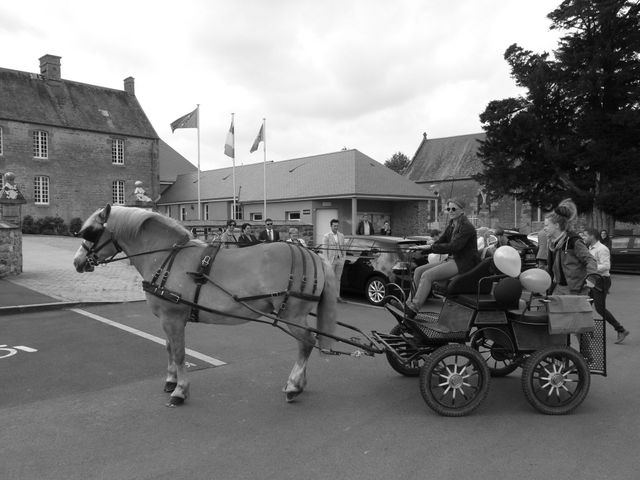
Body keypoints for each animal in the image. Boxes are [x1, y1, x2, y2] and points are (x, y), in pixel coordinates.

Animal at [72, 204, 338, 406]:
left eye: (91, 233)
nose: (77, 262)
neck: (166, 256)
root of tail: (312, 254)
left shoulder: (173, 317)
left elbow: (179, 352)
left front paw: (180, 391)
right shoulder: (167, 319)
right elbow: (169, 348)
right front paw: (170, 381)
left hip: (292, 314)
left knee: (306, 342)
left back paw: (294, 386)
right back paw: (299, 384)